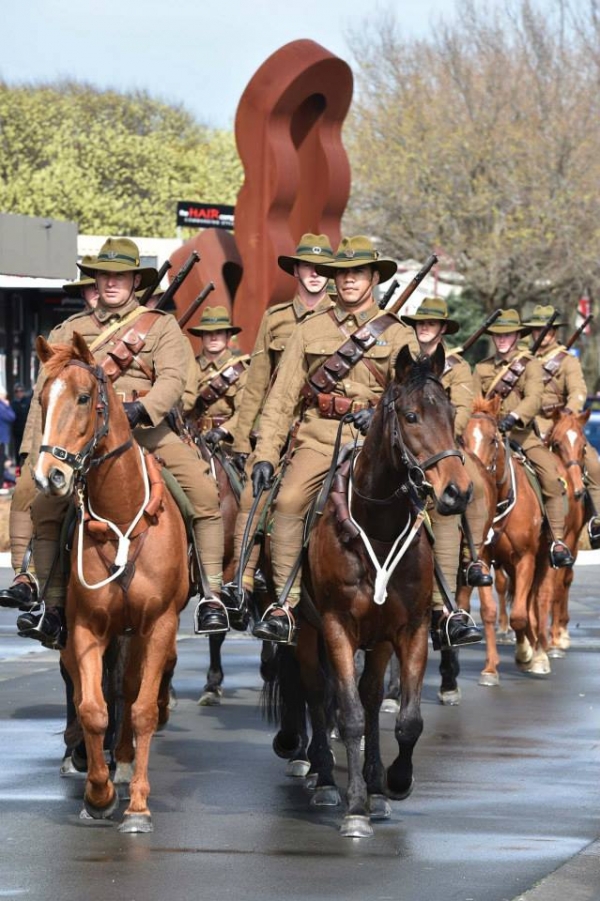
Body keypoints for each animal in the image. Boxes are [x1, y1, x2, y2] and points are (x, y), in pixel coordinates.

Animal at [35, 334, 190, 832]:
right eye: (42, 400)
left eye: (84, 398)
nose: (50, 476)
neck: (122, 518)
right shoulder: (86, 627)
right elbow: (93, 707)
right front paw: (97, 795)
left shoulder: (158, 625)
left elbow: (140, 709)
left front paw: (137, 805)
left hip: (140, 631)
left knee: (131, 687)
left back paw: (123, 763)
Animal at [270, 344, 474, 836]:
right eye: (412, 415)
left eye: (452, 413)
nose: (457, 493)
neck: (377, 529)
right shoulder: (336, 627)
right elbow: (348, 715)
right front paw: (356, 807)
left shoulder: (409, 630)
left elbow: (406, 719)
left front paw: (392, 784)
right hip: (307, 633)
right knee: (317, 696)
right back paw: (325, 778)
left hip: (377, 642)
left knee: (367, 694)